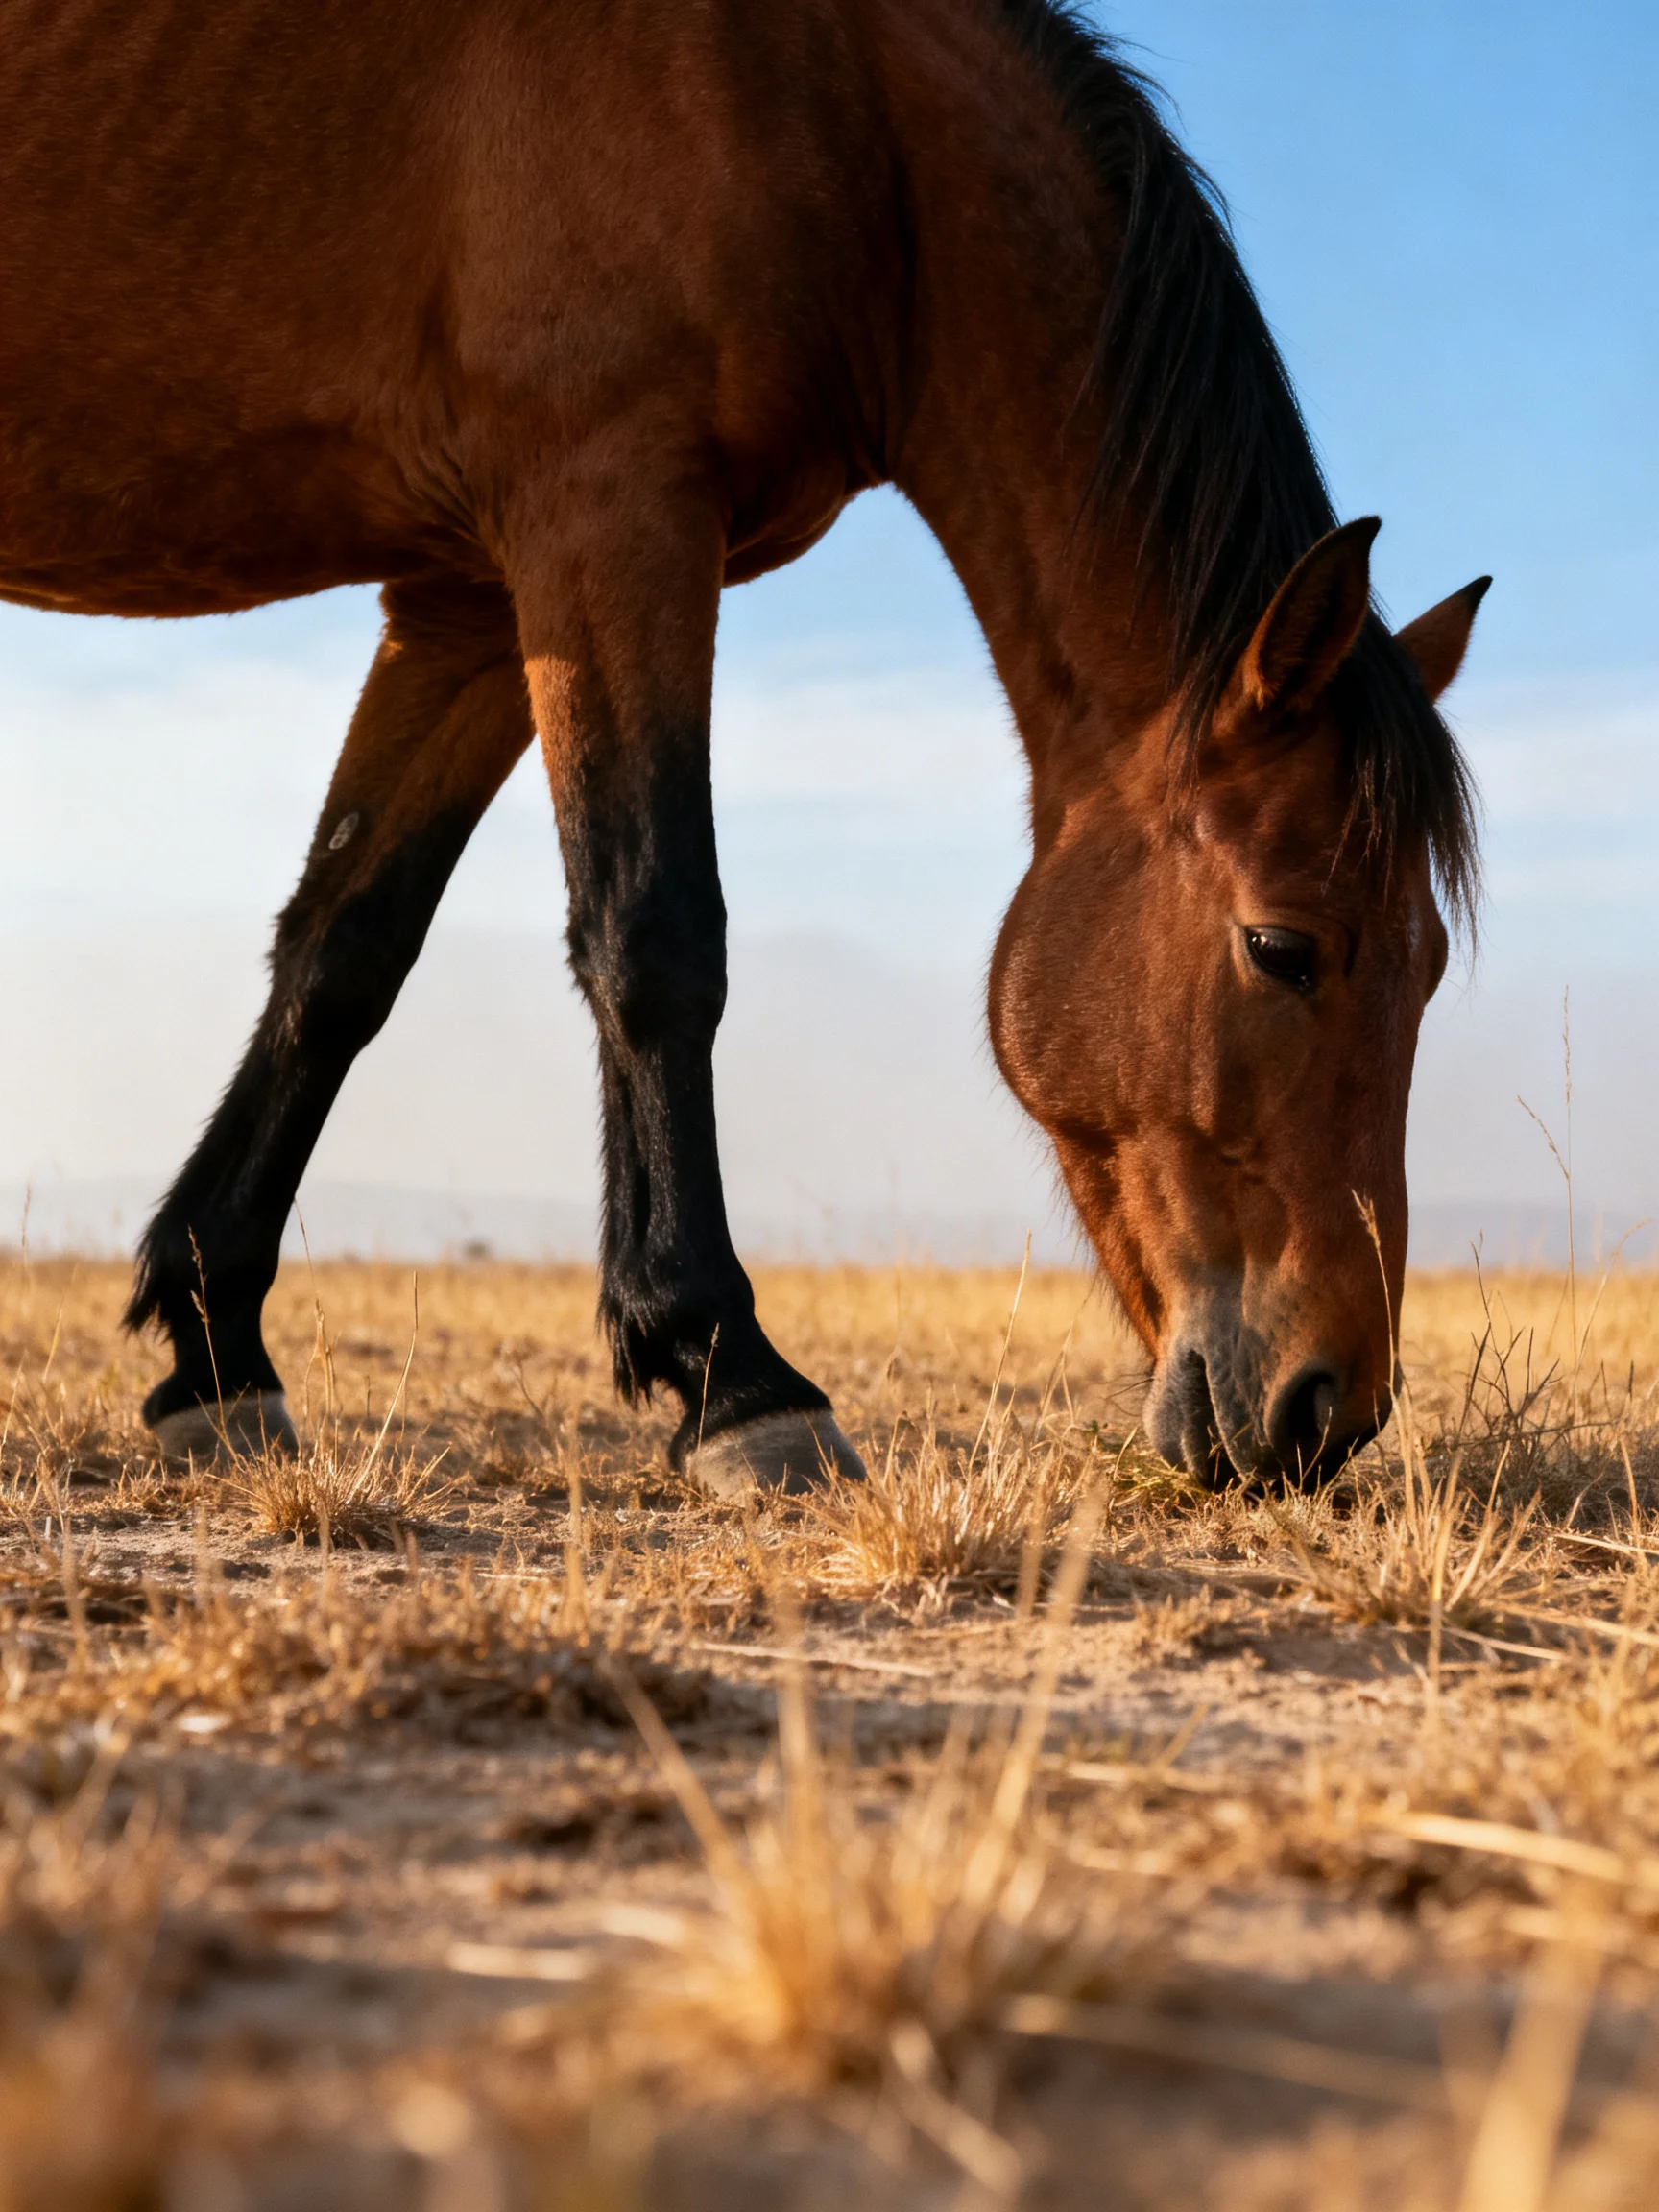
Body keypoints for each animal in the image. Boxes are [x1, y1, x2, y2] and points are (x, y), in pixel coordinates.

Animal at [0, 0, 1485, 1493]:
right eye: (1282, 949)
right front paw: (732, 1371)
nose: (1327, 1410)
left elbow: (344, 952)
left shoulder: (471, 599)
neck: (827, 101)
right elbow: (656, 935)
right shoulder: (611, 509)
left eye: (1429, 975)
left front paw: (215, 1351)